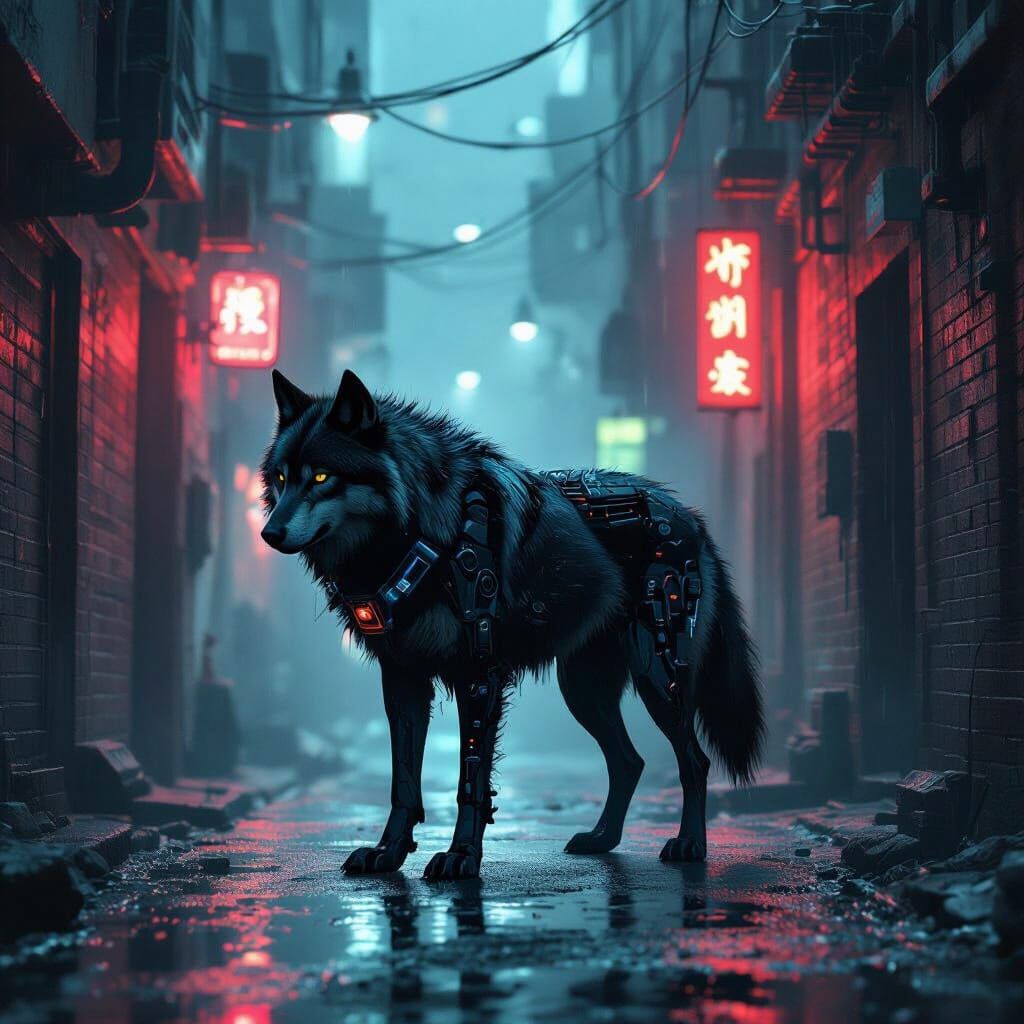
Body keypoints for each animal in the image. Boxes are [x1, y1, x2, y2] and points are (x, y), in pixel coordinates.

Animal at [260, 369, 764, 880]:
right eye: (281, 478)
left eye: (321, 477)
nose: (268, 533)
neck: (422, 529)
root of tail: (690, 516)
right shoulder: (403, 680)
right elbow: (403, 781)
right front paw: (389, 851)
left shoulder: (479, 678)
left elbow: (471, 780)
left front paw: (461, 856)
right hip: (583, 692)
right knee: (629, 762)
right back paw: (601, 839)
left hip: (657, 680)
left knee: (694, 761)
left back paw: (689, 845)